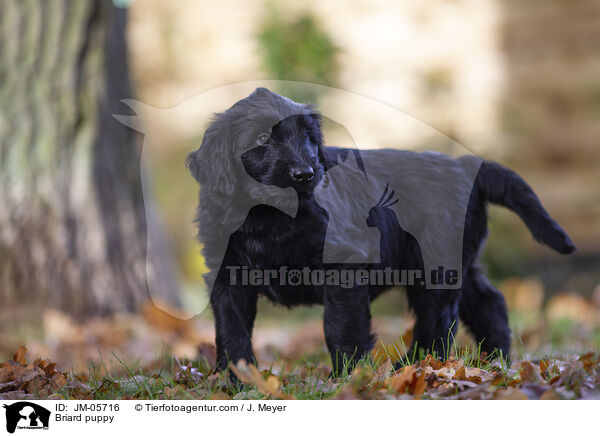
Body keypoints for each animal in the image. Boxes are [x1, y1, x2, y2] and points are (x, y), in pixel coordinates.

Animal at [186, 86, 572, 374]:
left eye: (309, 138)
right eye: (263, 138)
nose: (306, 174)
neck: (269, 217)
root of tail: (465, 165)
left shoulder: (344, 266)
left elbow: (341, 327)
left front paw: (348, 378)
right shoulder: (227, 274)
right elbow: (231, 328)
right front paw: (236, 380)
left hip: (432, 264)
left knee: (438, 319)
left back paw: (413, 368)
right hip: (462, 258)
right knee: (488, 302)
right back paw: (495, 361)